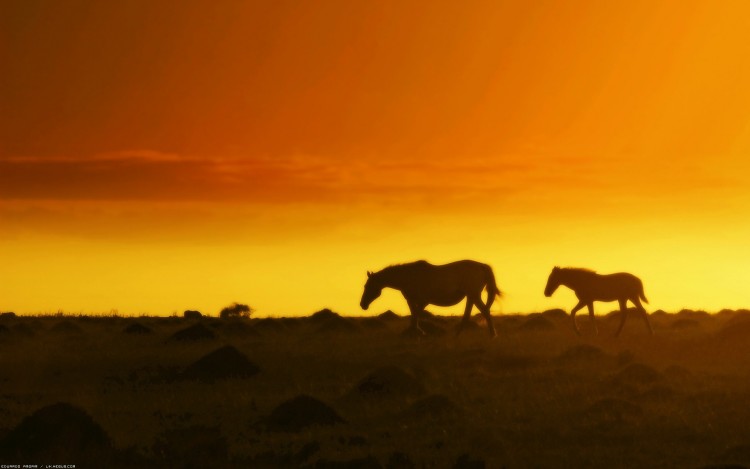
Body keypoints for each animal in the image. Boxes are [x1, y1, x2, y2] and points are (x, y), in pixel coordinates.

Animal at [362, 260, 502, 336]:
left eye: (368, 286)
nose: (362, 304)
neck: (409, 276)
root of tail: (482, 266)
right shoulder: (412, 300)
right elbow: (414, 313)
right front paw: (415, 331)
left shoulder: (423, 300)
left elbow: (416, 314)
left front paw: (417, 331)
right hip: (471, 296)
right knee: (468, 315)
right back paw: (457, 336)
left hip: (474, 294)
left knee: (485, 311)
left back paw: (492, 335)